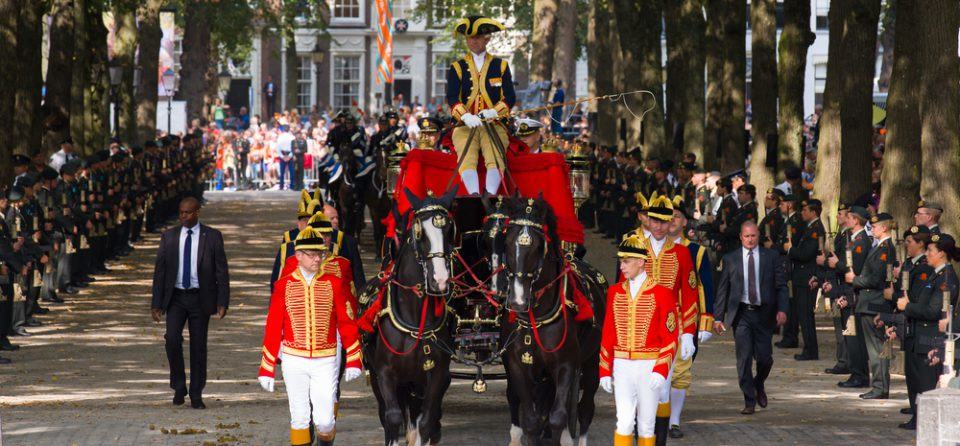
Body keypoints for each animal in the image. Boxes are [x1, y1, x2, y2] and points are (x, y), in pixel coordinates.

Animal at [368, 187, 458, 446]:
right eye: (419, 232)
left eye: (450, 229)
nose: (440, 280)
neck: (416, 320)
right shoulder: (385, 373)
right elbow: (393, 418)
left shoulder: (436, 374)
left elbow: (425, 421)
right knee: (387, 414)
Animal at [498, 197, 604, 444]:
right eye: (506, 242)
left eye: (538, 247)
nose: (517, 301)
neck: (536, 317)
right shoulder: (518, 365)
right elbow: (531, 420)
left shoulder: (566, 364)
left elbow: (557, 417)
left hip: (591, 360)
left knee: (585, 408)